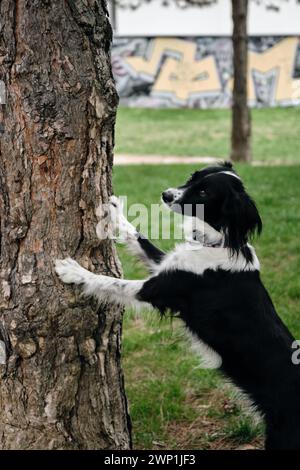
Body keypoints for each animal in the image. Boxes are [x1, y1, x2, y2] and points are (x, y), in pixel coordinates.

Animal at [55, 163, 300, 450]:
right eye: (193, 177)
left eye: (204, 192)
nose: (166, 194)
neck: (217, 242)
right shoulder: (164, 265)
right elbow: (138, 237)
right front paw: (115, 212)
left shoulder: (156, 290)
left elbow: (111, 282)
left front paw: (73, 271)